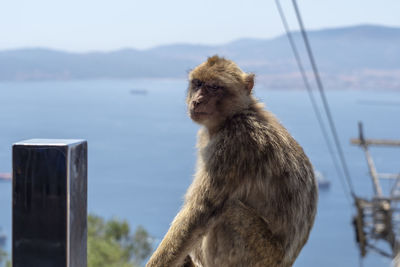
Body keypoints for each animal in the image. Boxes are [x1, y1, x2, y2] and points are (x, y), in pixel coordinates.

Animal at [145, 55, 318, 266]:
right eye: (198, 83)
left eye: (214, 87)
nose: (197, 101)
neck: (234, 116)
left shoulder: (235, 143)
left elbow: (199, 213)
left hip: (259, 254)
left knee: (229, 210)